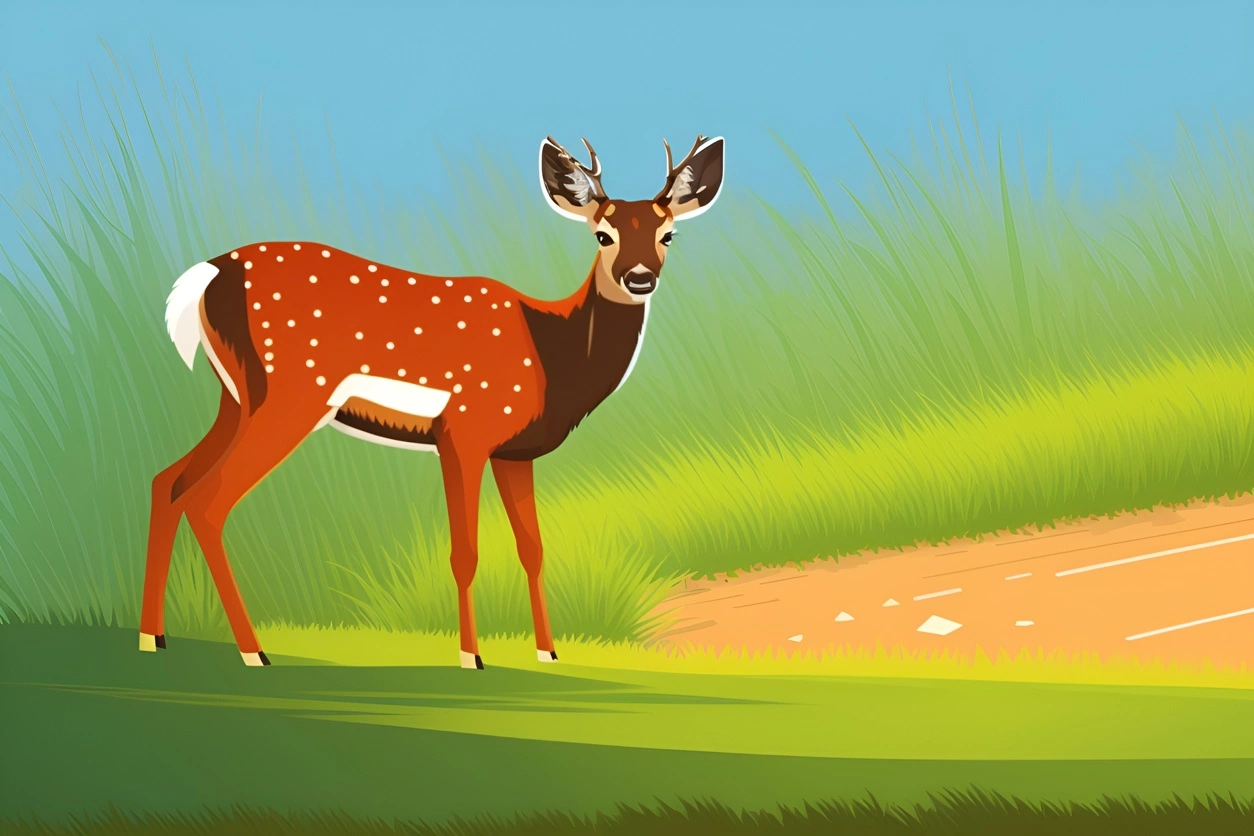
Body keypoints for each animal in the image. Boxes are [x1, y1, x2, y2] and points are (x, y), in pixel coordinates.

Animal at [140, 134, 724, 669]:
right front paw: (472, 656)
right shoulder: (464, 430)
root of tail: (209, 275)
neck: (551, 356)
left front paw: (549, 652)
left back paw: (155, 637)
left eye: (668, 234)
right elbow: (465, 551)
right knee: (209, 501)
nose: (639, 277)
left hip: (236, 396)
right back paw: (253, 651)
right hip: (291, 394)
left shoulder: (515, 452)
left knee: (168, 481)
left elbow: (533, 549)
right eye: (602, 234)